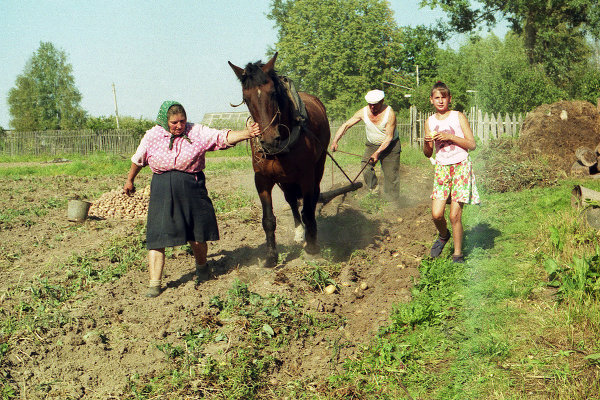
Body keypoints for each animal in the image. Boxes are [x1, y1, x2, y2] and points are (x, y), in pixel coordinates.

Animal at [230, 51, 332, 268]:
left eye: (273, 93)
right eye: (246, 98)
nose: (269, 140)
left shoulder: (306, 176)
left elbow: (308, 211)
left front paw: (312, 248)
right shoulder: (262, 179)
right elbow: (268, 219)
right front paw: (271, 256)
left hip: (317, 168)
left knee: (312, 200)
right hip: (285, 180)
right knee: (292, 200)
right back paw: (299, 233)